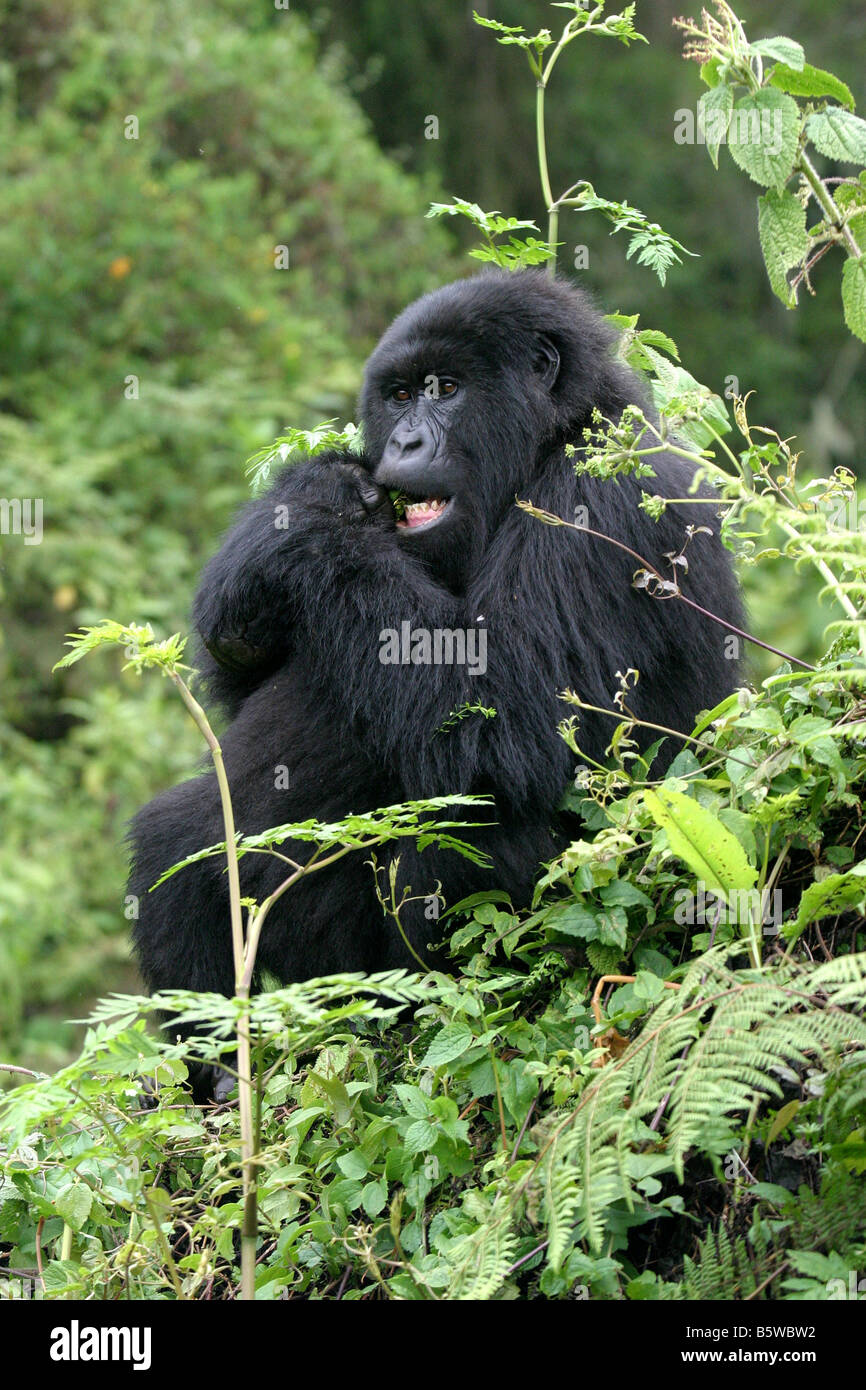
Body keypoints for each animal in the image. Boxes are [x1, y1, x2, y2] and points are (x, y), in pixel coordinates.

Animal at [130, 262, 745, 1084]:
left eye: (445, 388)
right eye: (397, 397)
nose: (407, 439)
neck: (559, 433)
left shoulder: (598, 503)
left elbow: (505, 733)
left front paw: (313, 518)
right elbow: (250, 676)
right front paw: (283, 520)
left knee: (463, 825)